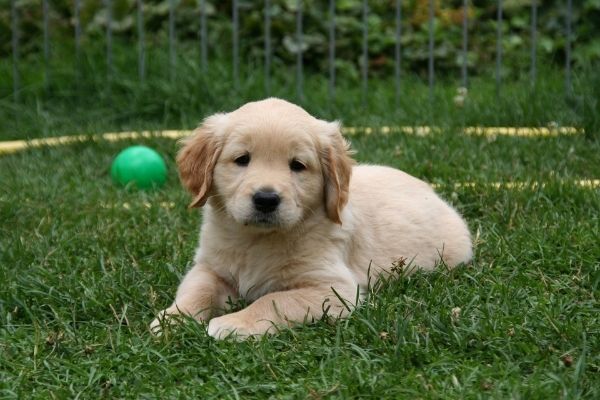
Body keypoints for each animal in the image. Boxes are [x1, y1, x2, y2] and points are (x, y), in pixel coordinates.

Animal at [149, 98, 468, 340]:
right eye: (242, 159)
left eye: (297, 165)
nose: (266, 199)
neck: (257, 240)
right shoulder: (209, 266)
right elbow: (197, 291)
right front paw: (172, 319)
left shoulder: (332, 288)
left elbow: (274, 300)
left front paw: (234, 323)